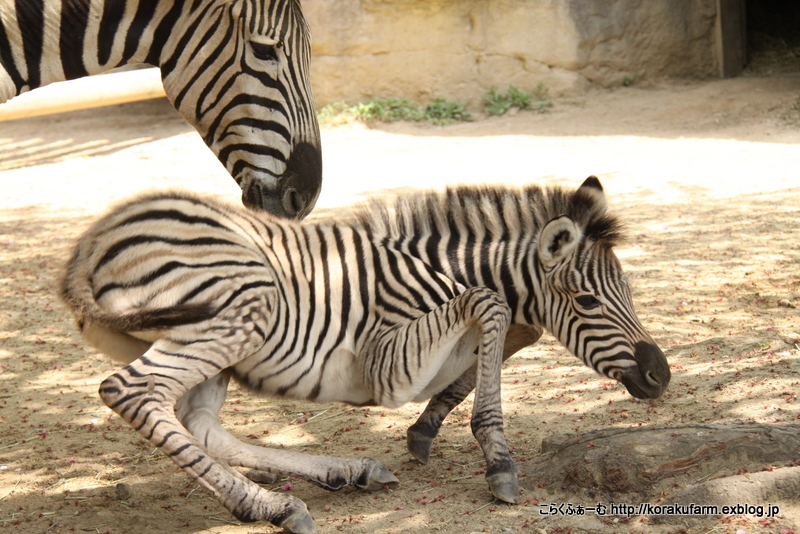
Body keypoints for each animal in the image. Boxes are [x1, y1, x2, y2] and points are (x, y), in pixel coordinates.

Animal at [59, 178, 668, 532]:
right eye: (587, 301)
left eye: (629, 290)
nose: (660, 375)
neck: (441, 270)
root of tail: (91, 243)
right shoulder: (388, 366)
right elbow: (492, 304)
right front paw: (497, 457)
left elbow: (509, 337)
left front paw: (426, 429)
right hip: (241, 310)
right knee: (134, 392)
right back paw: (269, 504)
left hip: (218, 345)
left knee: (199, 425)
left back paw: (320, 483)